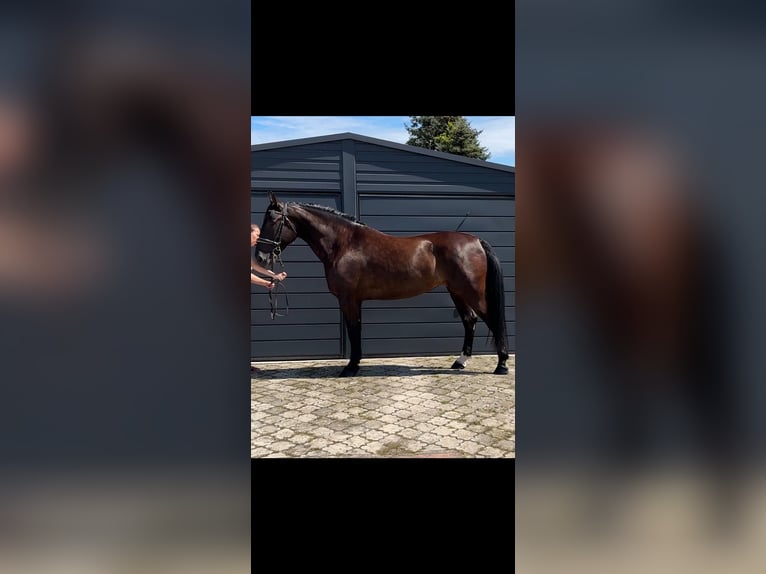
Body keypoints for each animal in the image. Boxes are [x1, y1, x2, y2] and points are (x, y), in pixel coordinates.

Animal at [256, 191, 510, 378]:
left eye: (273, 220)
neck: (345, 244)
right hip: (456, 291)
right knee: (470, 320)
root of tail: (475, 240)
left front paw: (351, 367)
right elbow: (356, 329)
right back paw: (460, 362)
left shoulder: (349, 299)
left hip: (472, 291)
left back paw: (502, 366)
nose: (260, 257)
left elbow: (354, 329)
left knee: (492, 320)